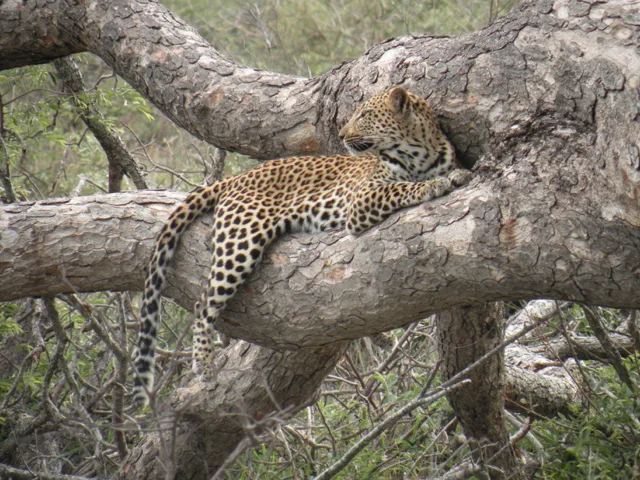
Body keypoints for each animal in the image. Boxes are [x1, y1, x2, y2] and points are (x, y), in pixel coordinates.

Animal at [133, 86, 472, 405]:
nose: (342, 135)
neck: (418, 152)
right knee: (203, 303)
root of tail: (238, 176)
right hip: (240, 241)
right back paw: (203, 364)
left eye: (364, 115)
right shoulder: (362, 200)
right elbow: (402, 187)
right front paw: (433, 185)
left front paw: (451, 176)